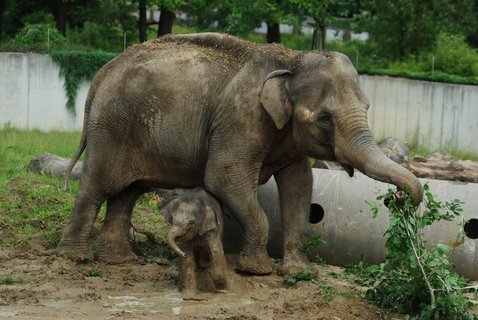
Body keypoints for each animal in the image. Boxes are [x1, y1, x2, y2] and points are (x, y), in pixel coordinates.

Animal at [57, 33, 422, 276]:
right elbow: (224, 176)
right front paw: (258, 269)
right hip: (111, 128)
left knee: (128, 193)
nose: (403, 198)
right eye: (324, 119)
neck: (291, 61)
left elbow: (300, 184)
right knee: (97, 187)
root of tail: (103, 71)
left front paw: (299, 272)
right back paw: (77, 258)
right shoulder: (239, 117)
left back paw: (120, 261)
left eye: (367, 108)